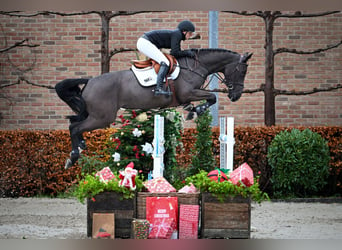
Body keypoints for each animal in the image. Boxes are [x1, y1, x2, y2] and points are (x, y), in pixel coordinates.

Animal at [55, 47, 251, 169]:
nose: (236, 96)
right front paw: (197, 112)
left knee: (74, 123)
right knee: (75, 127)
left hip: (93, 115)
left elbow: (210, 98)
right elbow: (212, 97)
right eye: (242, 71)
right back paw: (73, 156)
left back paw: (80, 147)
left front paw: (193, 111)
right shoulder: (188, 93)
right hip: (102, 118)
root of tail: (90, 81)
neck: (195, 66)